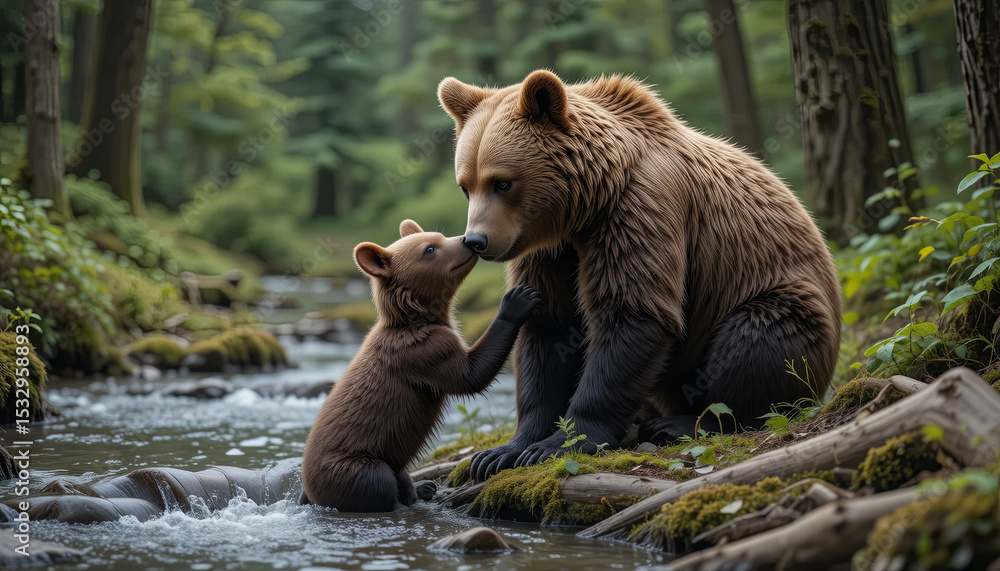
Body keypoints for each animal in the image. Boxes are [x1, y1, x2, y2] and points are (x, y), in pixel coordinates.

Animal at [300, 219, 541, 511]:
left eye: (439, 236)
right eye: (430, 249)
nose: (468, 241)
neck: (415, 319)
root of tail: (308, 491)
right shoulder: (423, 351)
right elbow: (469, 375)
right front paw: (517, 300)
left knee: (400, 475)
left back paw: (422, 487)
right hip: (349, 464)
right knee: (378, 480)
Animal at [436, 70, 841, 482]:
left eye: (502, 182)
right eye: (466, 185)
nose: (476, 240)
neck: (586, 205)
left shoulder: (639, 209)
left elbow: (632, 314)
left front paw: (562, 442)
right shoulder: (552, 253)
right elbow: (549, 330)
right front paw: (504, 451)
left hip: (775, 290)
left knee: (757, 339)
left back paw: (680, 423)